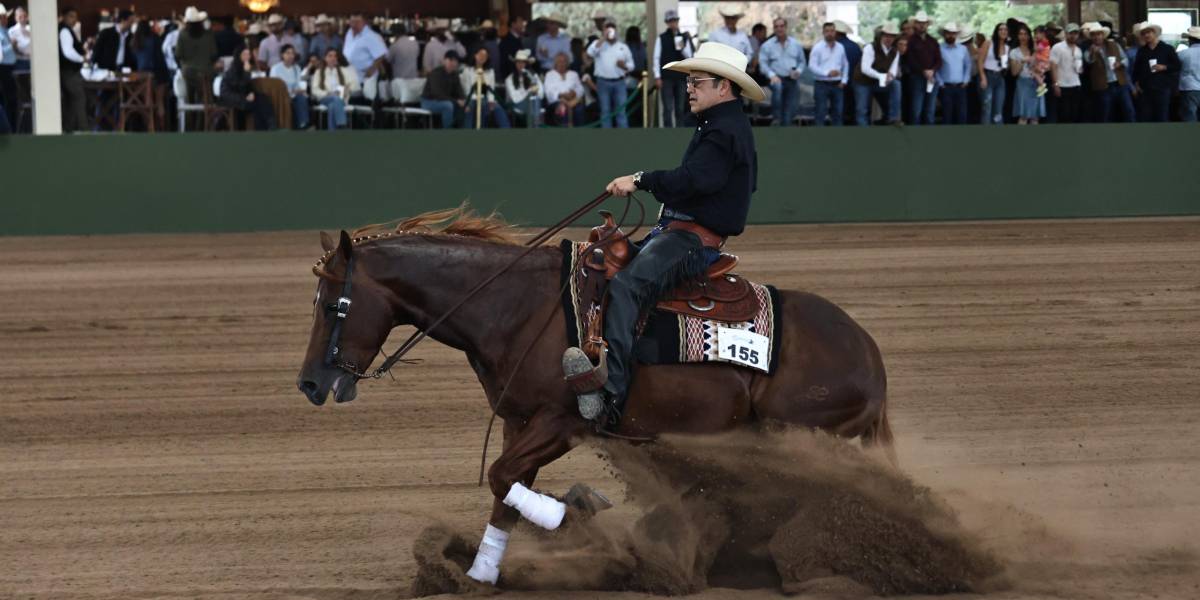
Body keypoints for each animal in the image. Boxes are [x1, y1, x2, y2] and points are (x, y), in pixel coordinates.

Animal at [295, 207, 894, 586]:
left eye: (335, 304)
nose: (309, 384)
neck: (516, 307)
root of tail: (870, 356)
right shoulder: (518, 423)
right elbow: (503, 491)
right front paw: (481, 574)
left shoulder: (562, 423)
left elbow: (502, 479)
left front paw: (571, 513)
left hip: (793, 439)